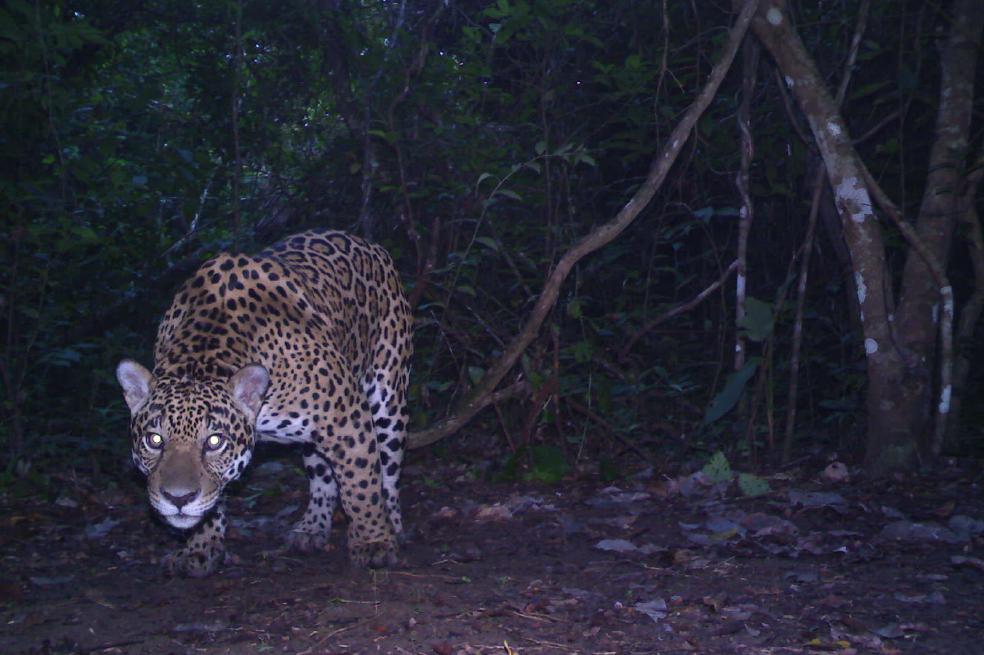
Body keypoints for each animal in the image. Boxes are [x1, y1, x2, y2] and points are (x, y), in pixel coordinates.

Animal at [116, 230, 412, 577]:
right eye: (154, 440)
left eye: (214, 442)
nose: (179, 498)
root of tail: (368, 243)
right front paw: (200, 548)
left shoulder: (347, 420)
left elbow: (362, 485)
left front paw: (373, 542)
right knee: (322, 474)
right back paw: (311, 528)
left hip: (388, 397)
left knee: (387, 471)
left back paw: (393, 525)